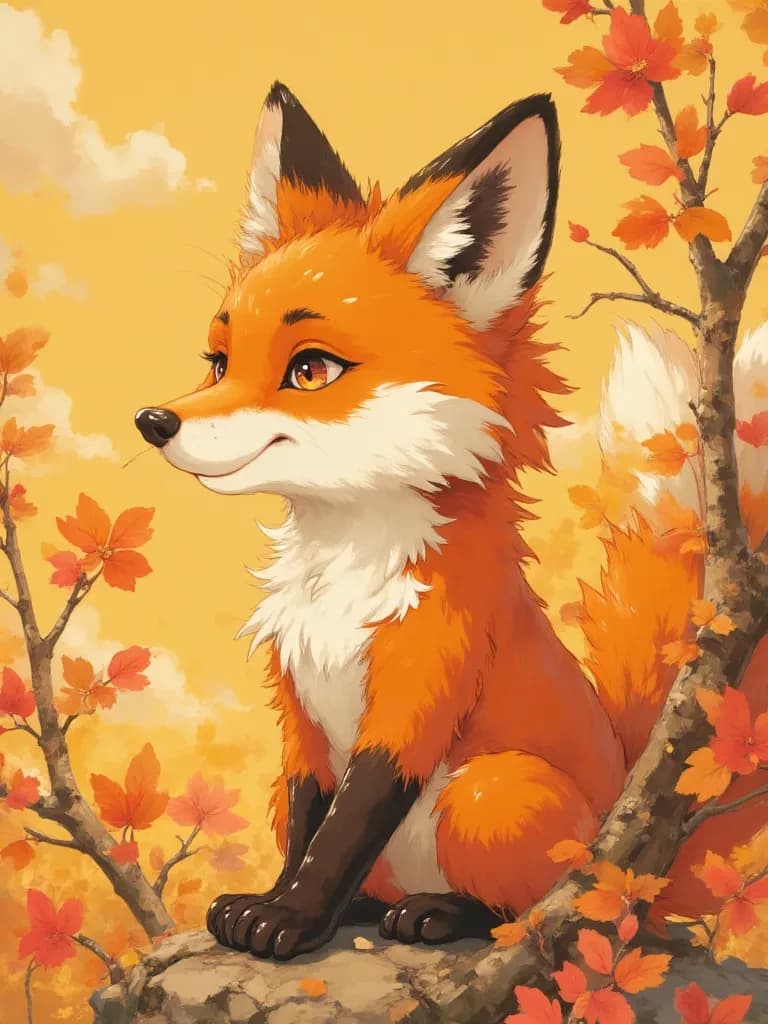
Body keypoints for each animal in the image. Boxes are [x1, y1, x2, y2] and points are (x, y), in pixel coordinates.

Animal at [135, 82, 768, 961]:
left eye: (310, 369)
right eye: (219, 362)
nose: (152, 422)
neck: (340, 587)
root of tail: (630, 870)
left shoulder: (421, 687)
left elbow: (345, 828)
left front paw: (290, 922)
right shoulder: (299, 717)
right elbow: (308, 824)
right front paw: (275, 904)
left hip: (488, 790)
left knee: (527, 914)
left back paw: (441, 914)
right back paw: (372, 913)